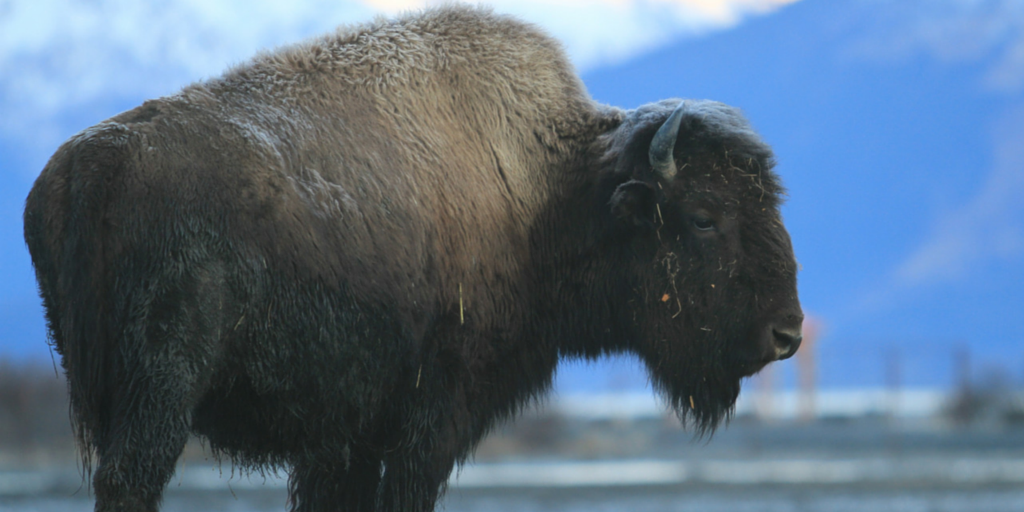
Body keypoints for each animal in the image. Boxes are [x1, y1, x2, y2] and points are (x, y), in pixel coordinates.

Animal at [24, 6, 802, 512]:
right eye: (704, 216)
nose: (787, 333)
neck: (553, 188)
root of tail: (92, 163)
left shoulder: (344, 438)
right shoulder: (430, 420)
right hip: (160, 391)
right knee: (133, 482)